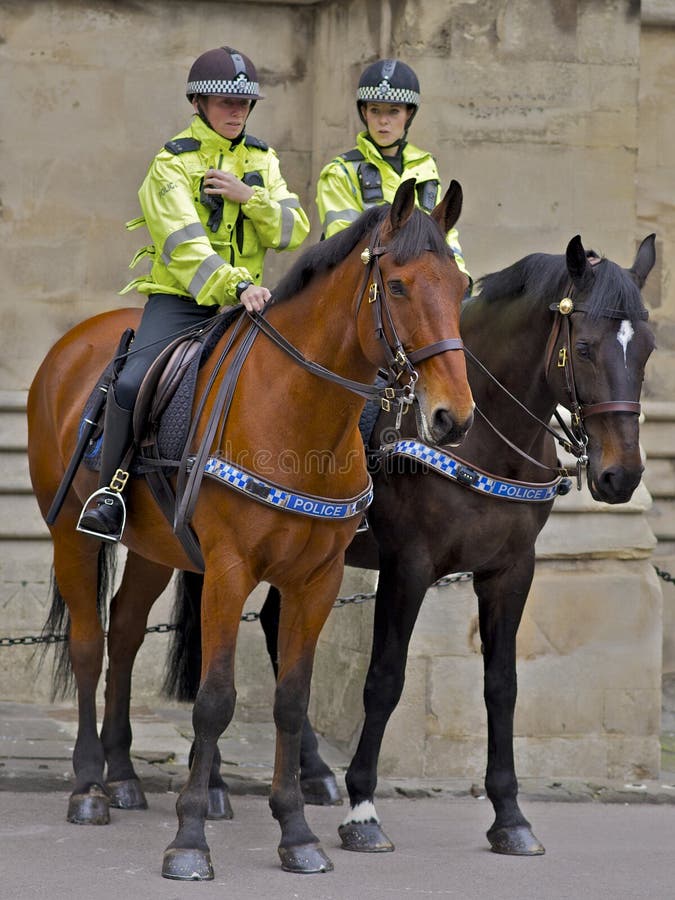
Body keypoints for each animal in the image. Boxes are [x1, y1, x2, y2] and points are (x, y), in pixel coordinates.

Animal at [27, 179, 476, 876]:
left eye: (462, 287)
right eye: (399, 286)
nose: (453, 416)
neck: (301, 414)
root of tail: (70, 345)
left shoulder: (316, 580)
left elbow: (291, 700)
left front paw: (296, 830)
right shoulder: (229, 571)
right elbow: (214, 700)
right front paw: (189, 838)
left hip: (156, 550)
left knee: (124, 634)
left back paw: (123, 773)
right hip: (71, 536)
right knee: (86, 644)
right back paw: (88, 785)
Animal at [187, 229, 652, 856]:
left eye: (647, 349)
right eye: (583, 348)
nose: (621, 476)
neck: (484, 440)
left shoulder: (511, 571)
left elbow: (501, 687)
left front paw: (509, 814)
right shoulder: (407, 566)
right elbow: (385, 679)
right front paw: (363, 807)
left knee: (274, 629)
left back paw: (311, 772)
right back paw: (215, 784)